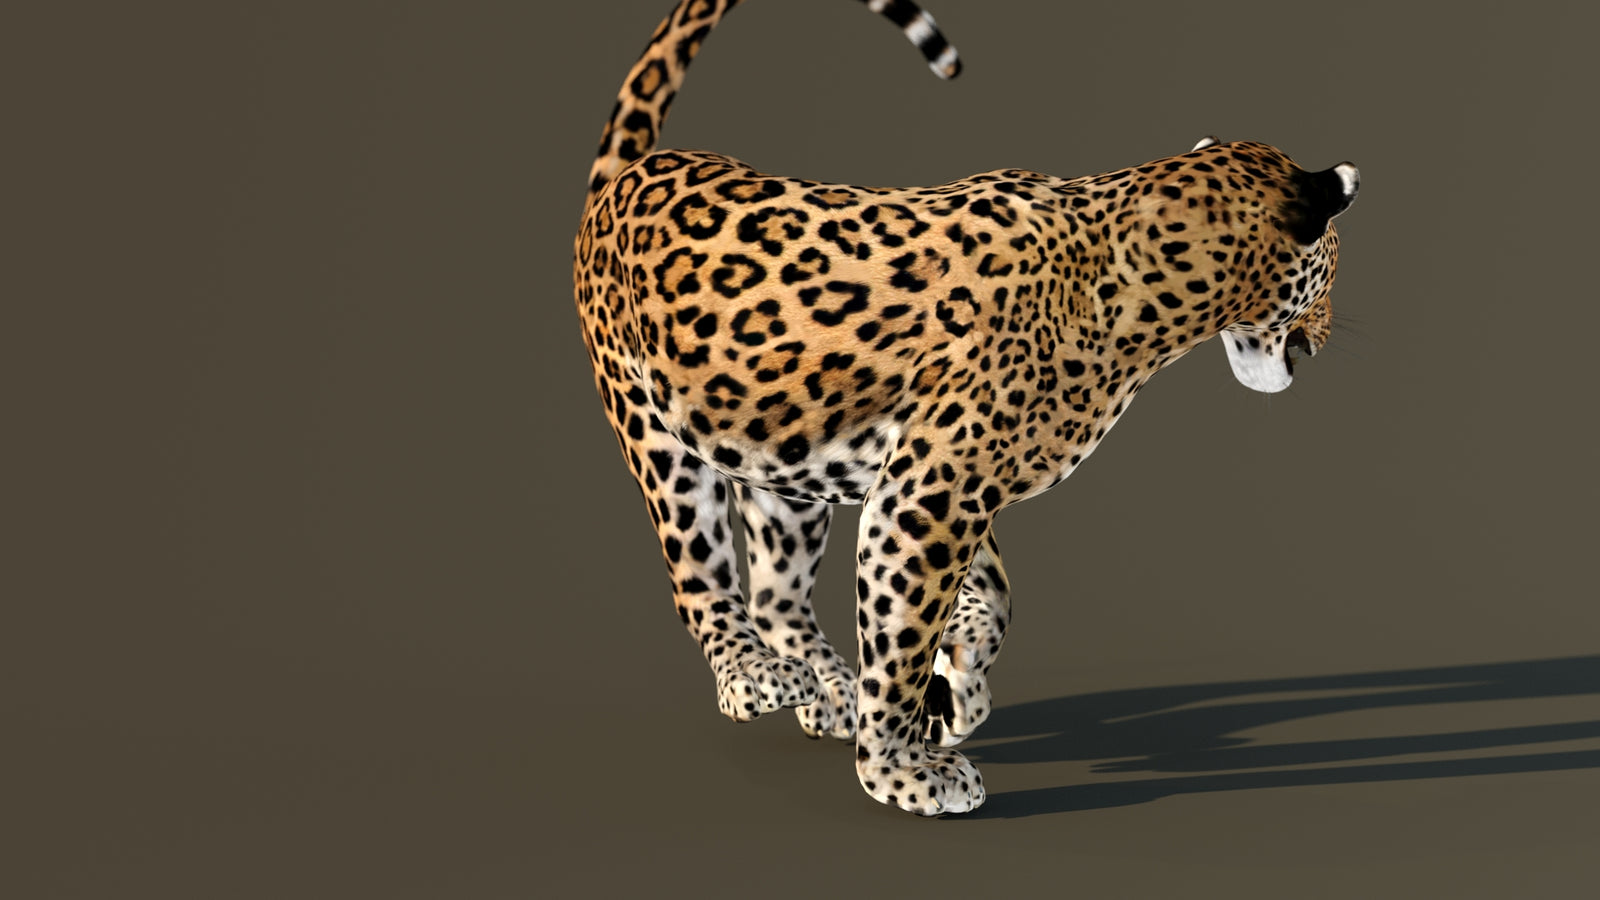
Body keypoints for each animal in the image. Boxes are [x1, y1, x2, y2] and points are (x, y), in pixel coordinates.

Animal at [571, 0, 1359, 816]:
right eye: (1331, 267)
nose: (1325, 339)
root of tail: (623, 179)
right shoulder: (929, 496)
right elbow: (904, 634)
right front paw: (902, 768)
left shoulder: (929, 482)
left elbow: (995, 598)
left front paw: (957, 685)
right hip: (654, 432)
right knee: (698, 571)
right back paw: (756, 677)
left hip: (781, 460)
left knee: (778, 593)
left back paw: (830, 690)